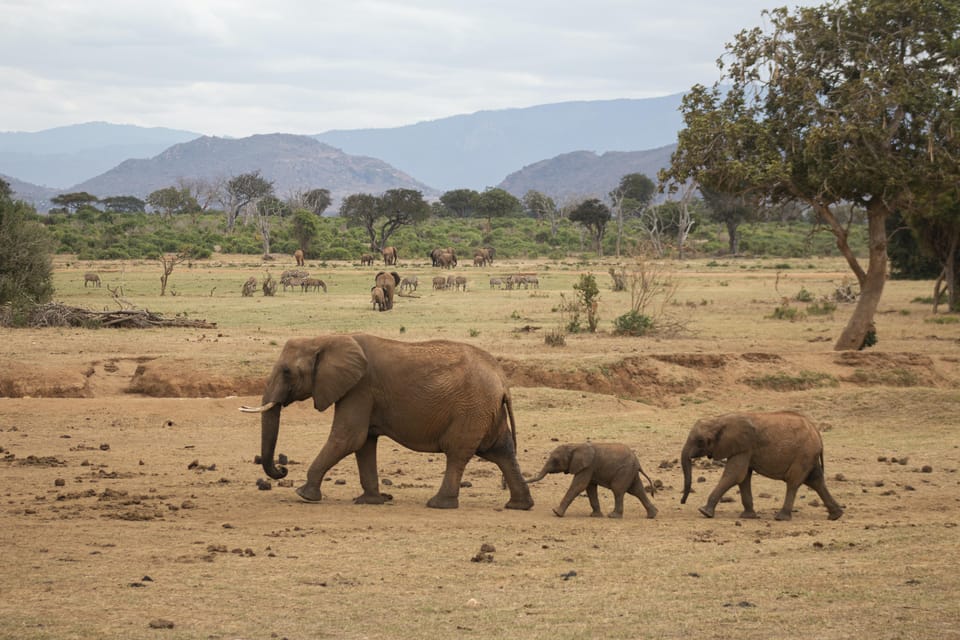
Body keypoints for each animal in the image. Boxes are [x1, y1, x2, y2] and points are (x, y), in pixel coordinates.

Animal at [238, 336, 532, 510]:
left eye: (287, 372)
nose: (282, 470)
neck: (327, 338)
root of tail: (502, 379)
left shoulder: (359, 388)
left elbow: (348, 438)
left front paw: (304, 494)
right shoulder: (362, 394)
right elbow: (364, 443)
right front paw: (371, 501)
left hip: (471, 409)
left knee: (458, 453)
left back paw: (439, 504)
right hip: (485, 411)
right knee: (501, 451)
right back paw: (519, 505)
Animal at [524, 444, 660, 520]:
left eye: (555, 460)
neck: (574, 445)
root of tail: (638, 462)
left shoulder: (587, 466)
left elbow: (579, 486)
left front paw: (556, 513)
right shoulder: (589, 468)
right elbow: (590, 488)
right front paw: (595, 515)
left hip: (624, 471)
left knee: (618, 490)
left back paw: (613, 516)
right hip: (630, 471)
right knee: (637, 490)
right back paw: (652, 515)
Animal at [680, 412, 844, 524]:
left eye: (700, 441)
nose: (682, 502)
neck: (720, 420)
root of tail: (817, 432)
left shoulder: (743, 447)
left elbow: (734, 475)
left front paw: (704, 512)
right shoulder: (744, 450)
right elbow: (743, 478)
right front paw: (748, 517)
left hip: (804, 454)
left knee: (793, 482)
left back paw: (781, 518)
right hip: (809, 456)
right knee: (816, 481)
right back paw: (836, 516)